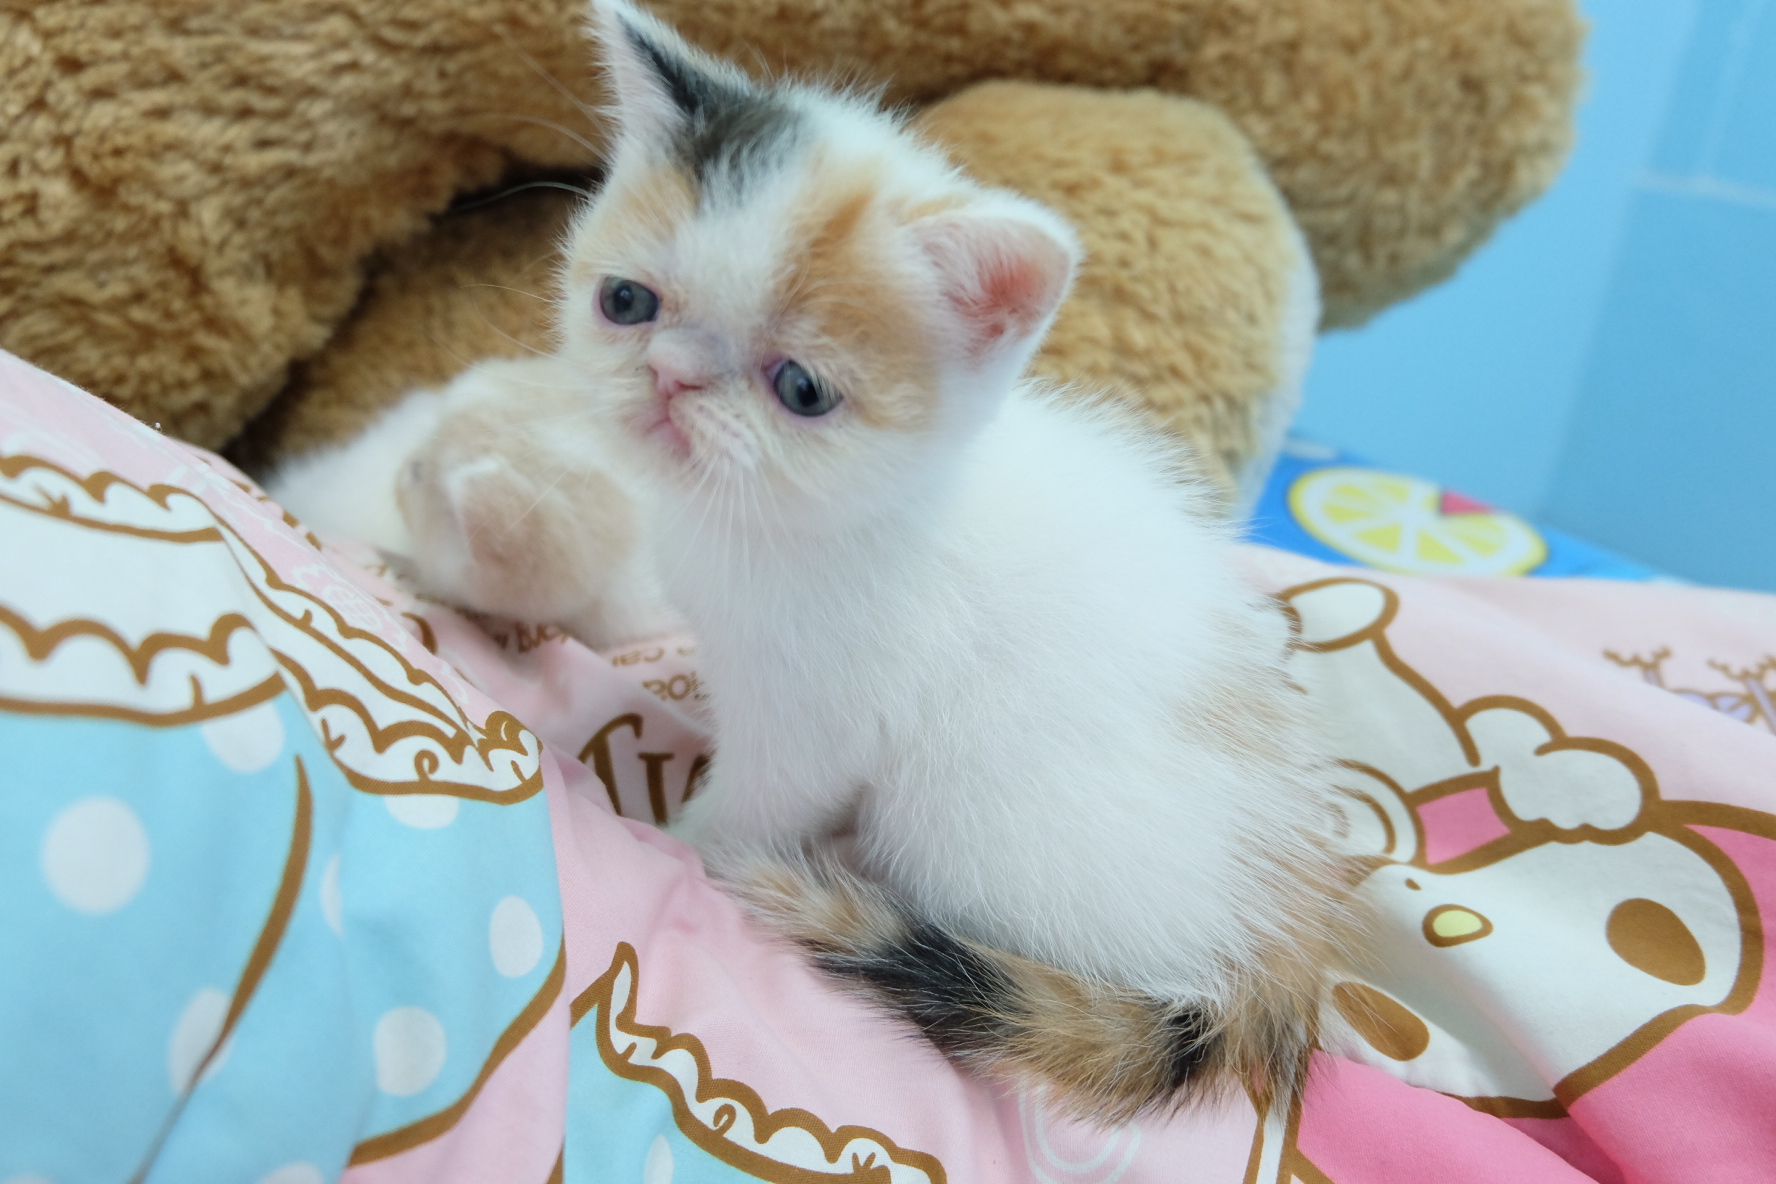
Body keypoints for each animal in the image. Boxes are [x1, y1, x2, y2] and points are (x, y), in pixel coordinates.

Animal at [529, 0, 1360, 1120]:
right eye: (627, 302)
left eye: (800, 389)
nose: (668, 377)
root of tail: (1281, 945)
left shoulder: (820, 712)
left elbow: (757, 800)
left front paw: (678, 836)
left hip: (968, 819)